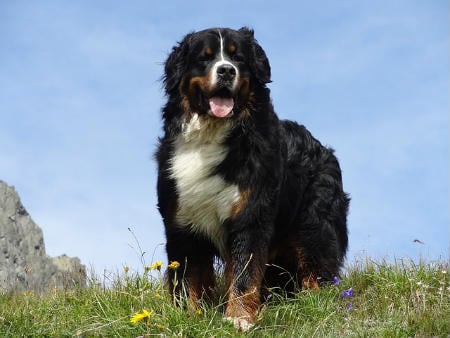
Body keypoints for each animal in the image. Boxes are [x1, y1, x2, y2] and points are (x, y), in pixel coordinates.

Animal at [156, 27, 350, 330]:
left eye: (239, 58)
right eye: (204, 57)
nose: (226, 71)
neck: (210, 136)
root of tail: (324, 149)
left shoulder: (250, 216)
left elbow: (244, 275)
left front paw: (238, 318)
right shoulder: (181, 222)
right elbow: (187, 279)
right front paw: (187, 317)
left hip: (315, 227)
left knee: (316, 269)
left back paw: (314, 304)